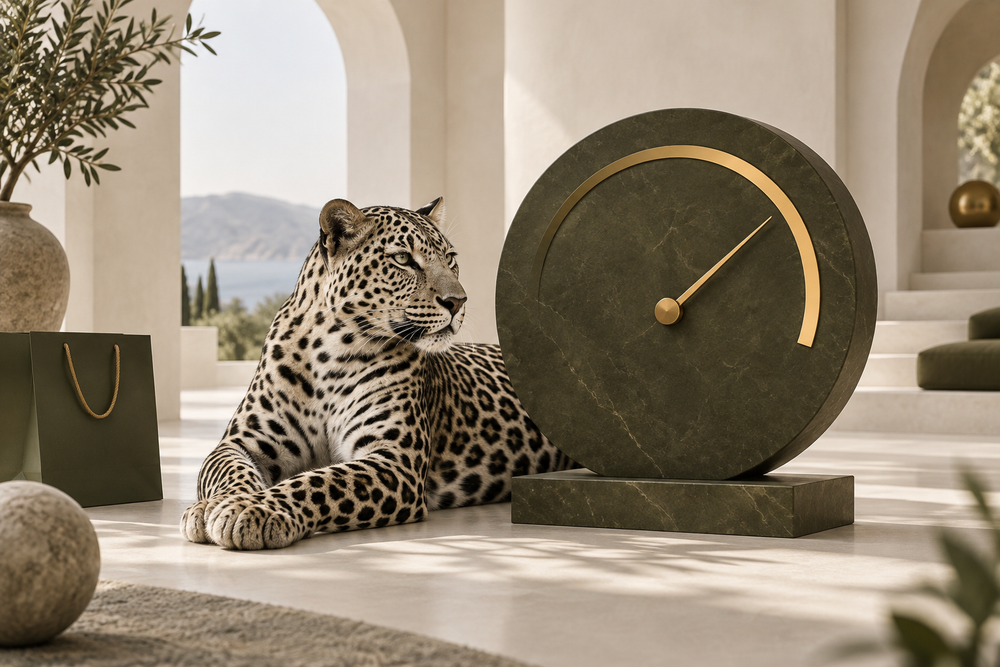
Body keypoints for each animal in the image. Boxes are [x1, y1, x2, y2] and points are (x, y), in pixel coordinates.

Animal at [180, 197, 574, 550]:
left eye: (450, 259)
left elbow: (321, 482)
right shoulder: (242, 441)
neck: (328, 350)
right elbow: (227, 470)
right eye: (403, 259)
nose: (458, 302)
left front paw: (253, 509)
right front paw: (209, 506)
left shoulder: (394, 459)